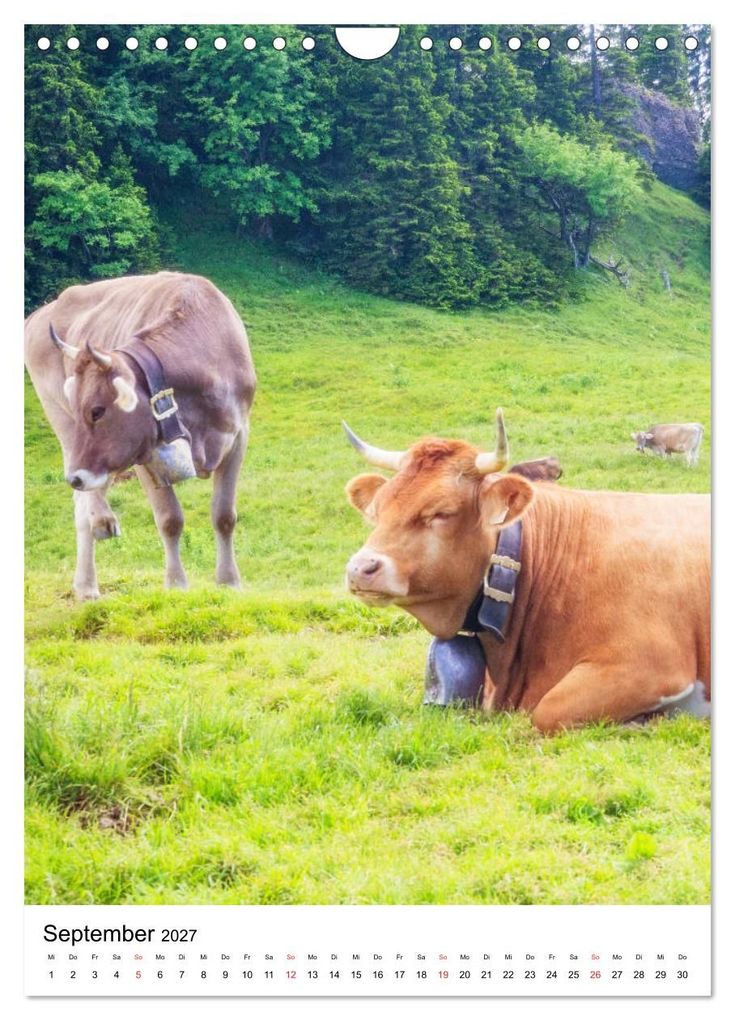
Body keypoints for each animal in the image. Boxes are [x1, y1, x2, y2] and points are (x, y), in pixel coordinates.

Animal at [24, 272, 256, 599]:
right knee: (84, 505)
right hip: (62, 423)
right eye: (82, 409)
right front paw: (175, 584)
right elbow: (169, 519)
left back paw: (87, 582)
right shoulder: (143, 454)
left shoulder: (237, 436)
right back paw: (96, 544)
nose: (75, 478)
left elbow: (224, 515)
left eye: (97, 411)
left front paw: (229, 582)